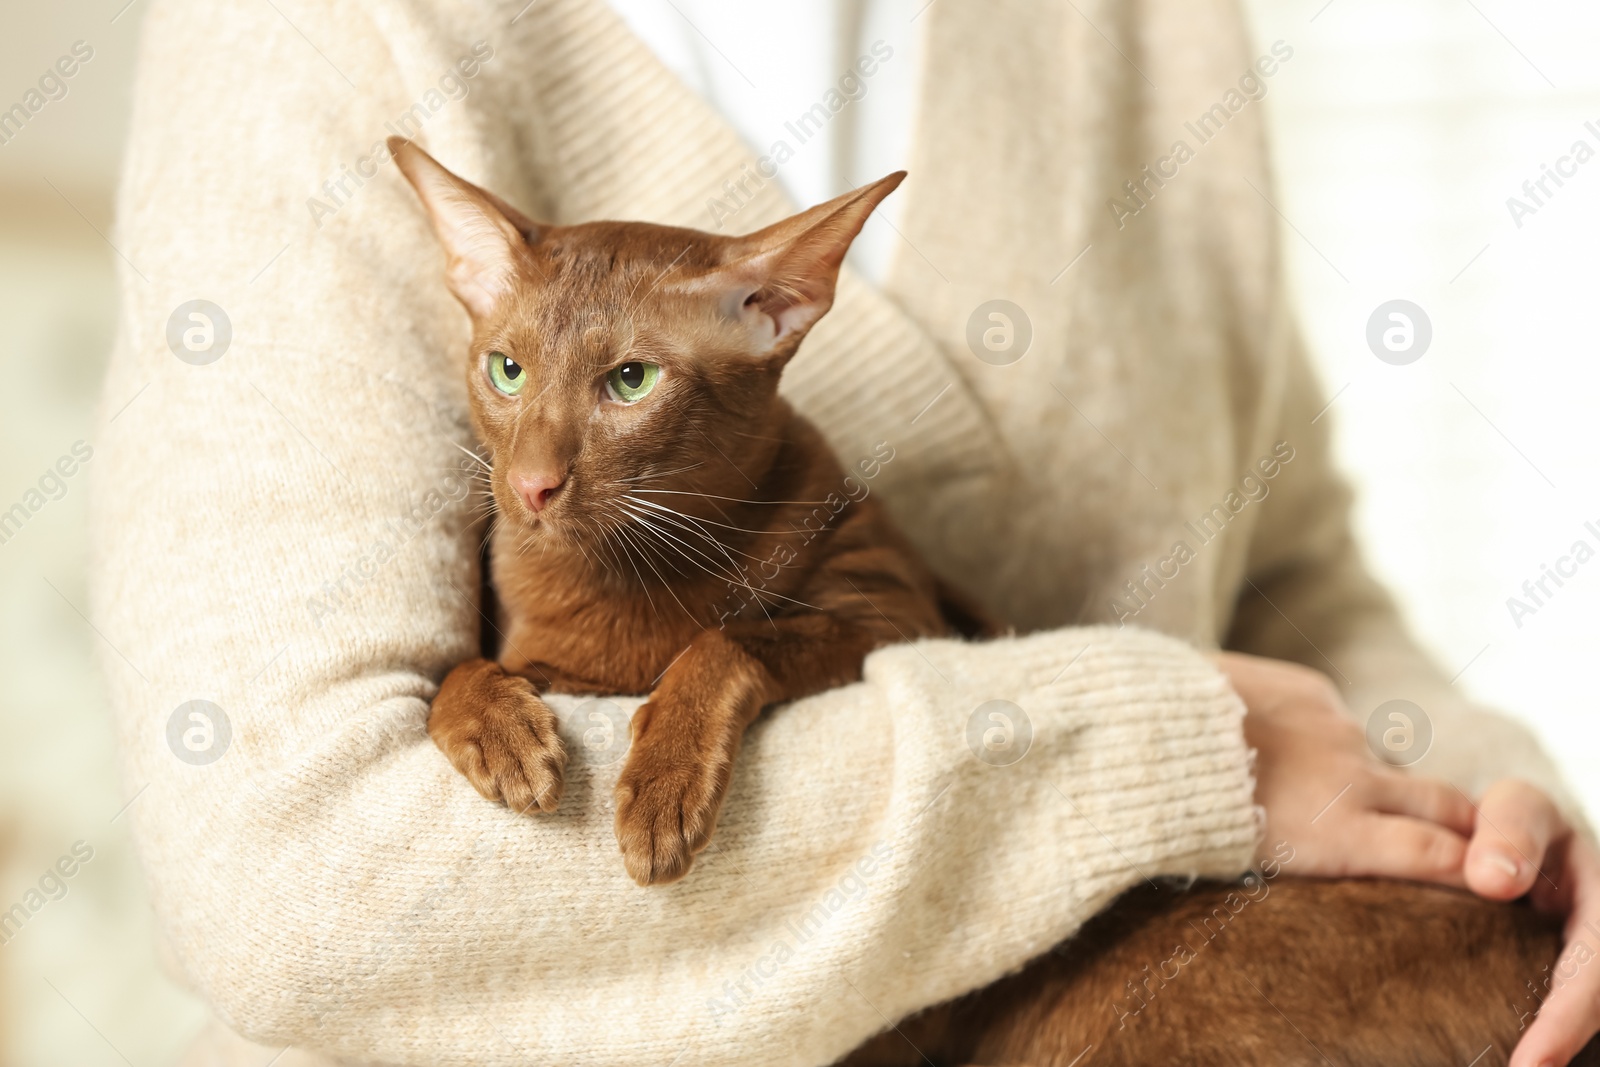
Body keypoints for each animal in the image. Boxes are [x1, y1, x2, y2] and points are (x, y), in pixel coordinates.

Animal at [390, 143, 1600, 1067]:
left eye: (629, 383)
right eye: (505, 371)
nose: (531, 486)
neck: (618, 583)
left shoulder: (892, 620)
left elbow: (731, 637)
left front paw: (658, 787)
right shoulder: (544, 647)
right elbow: (457, 672)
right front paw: (502, 734)